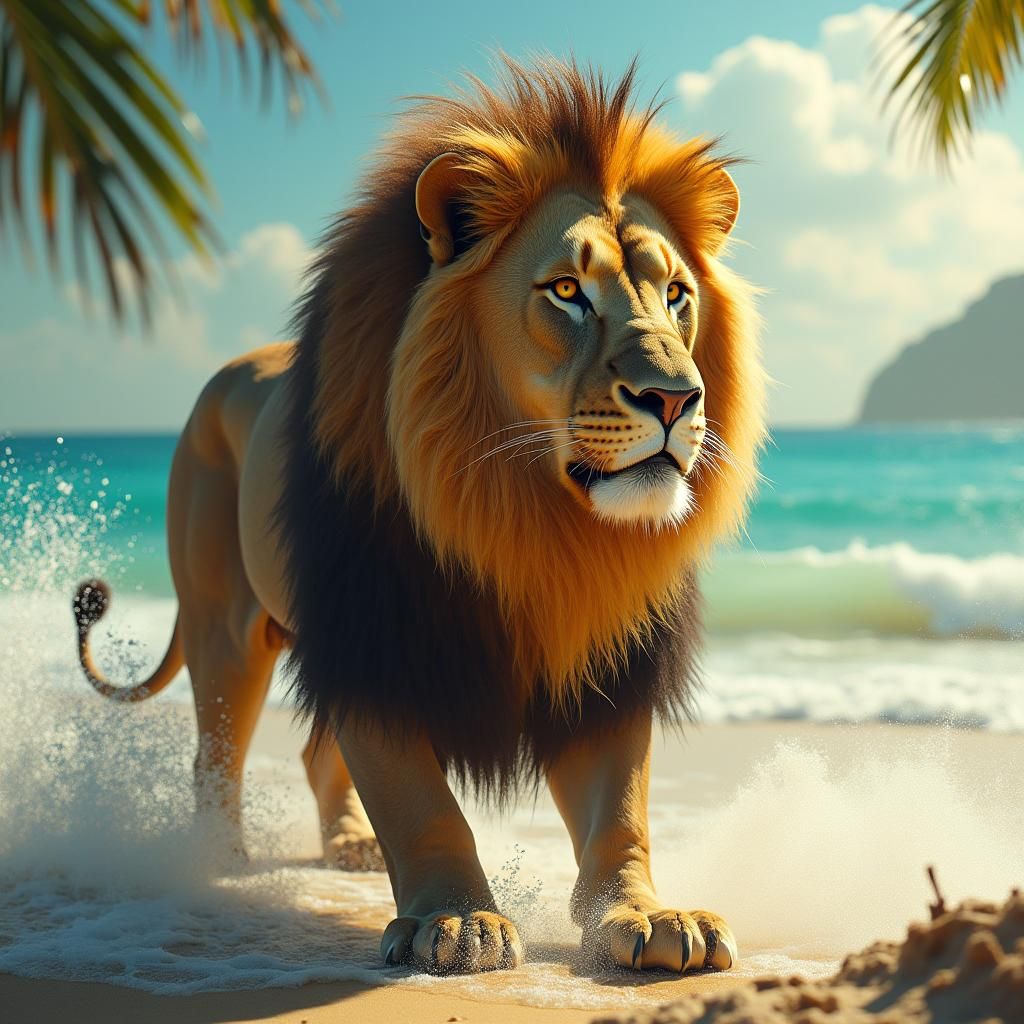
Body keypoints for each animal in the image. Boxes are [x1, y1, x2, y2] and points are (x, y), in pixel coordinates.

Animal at [72, 58, 765, 976]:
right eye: (568, 292)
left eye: (678, 295)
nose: (677, 397)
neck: (534, 521)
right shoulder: (375, 638)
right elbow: (422, 806)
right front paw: (458, 920)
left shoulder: (608, 657)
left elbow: (619, 813)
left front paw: (646, 916)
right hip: (226, 623)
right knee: (215, 750)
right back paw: (216, 861)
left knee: (312, 752)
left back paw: (349, 844)